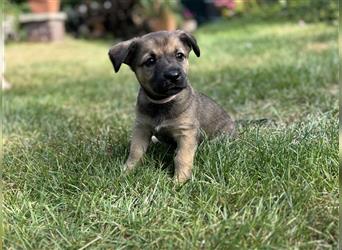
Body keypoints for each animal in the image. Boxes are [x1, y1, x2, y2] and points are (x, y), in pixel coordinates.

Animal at [109, 31, 235, 183]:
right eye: (150, 61)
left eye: (179, 55)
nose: (173, 76)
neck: (162, 103)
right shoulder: (141, 128)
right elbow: (135, 151)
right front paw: (126, 171)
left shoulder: (186, 134)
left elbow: (182, 157)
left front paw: (179, 180)